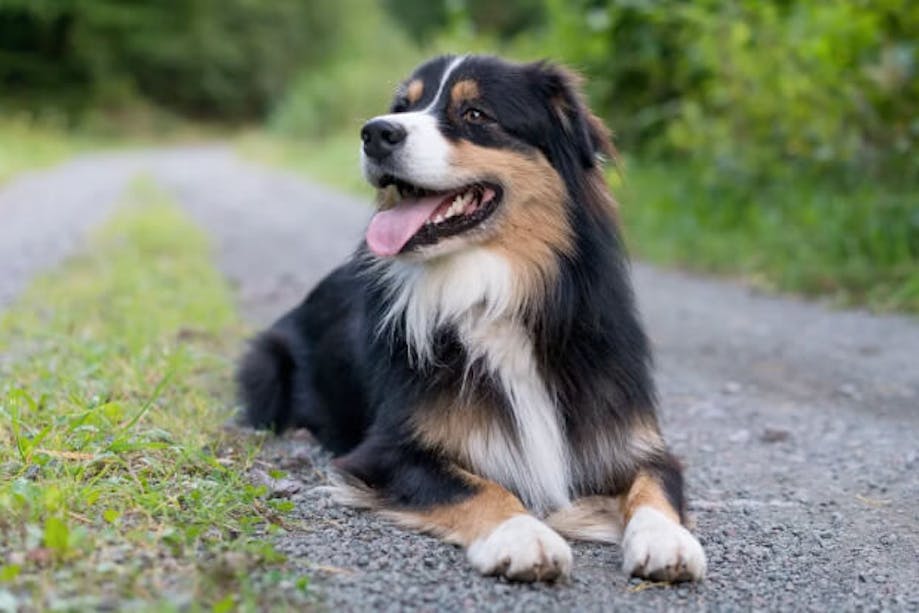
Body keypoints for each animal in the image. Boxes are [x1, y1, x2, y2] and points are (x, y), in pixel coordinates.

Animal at [237, 53, 704, 584]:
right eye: (402, 107)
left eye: (476, 114)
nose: (375, 133)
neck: (494, 294)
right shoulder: (387, 451)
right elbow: (478, 486)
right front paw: (524, 536)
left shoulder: (632, 440)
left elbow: (654, 485)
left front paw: (667, 540)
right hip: (265, 363)